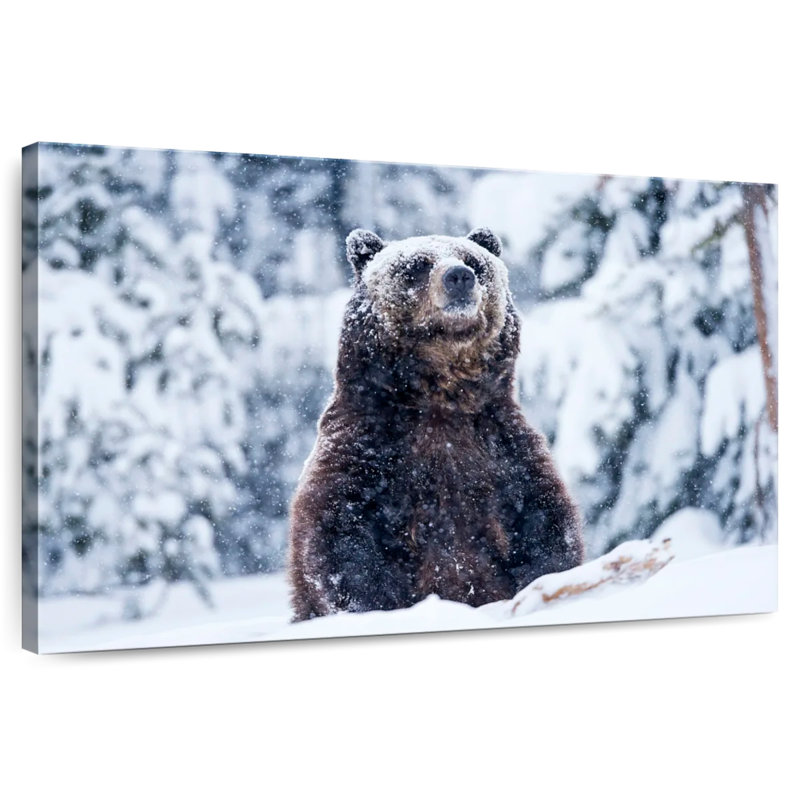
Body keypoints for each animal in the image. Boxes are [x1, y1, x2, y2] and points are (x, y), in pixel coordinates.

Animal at [288, 227, 584, 621]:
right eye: (417, 265)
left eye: (474, 261)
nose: (459, 276)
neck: (440, 398)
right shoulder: (367, 448)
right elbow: (340, 536)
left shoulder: (502, 449)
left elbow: (544, 524)